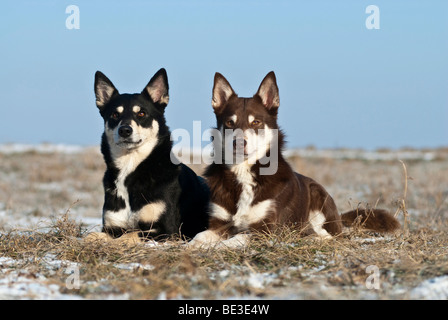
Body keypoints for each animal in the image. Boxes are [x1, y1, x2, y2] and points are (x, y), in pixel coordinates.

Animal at [92, 69, 210, 241]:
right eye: (114, 115)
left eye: (141, 113)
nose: (125, 130)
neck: (130, 168)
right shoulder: (111, 227)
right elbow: (92, 235)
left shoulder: (167, 231)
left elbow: (130, 235)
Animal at [189, 72, 400, 248]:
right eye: (229, 123)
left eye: (256, 122)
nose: (239, 143)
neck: (244, 171)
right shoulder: (218, 223)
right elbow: (200, 235)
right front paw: (190, 246)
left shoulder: (266, 229)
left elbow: (238, 237)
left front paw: (217, 247)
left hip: (317, 197)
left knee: (327, 235)